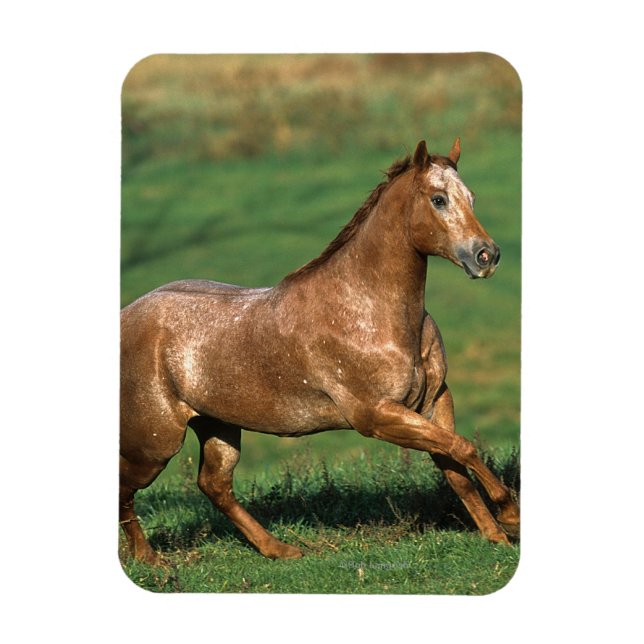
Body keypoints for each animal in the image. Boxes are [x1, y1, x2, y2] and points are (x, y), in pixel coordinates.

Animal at [120, 138, 520, 563]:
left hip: (217, 426)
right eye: (438, 199)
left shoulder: (433, 401)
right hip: (154, 444)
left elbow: (457, 466)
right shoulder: (377, 416)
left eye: (471, 198)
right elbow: (464, 449)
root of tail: (127, 315)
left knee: (214, 485)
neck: (367, 309)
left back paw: (280, 549)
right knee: (127, 488)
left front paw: (497, 535)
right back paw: (149, 559)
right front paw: (510, 515)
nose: (486, 256)